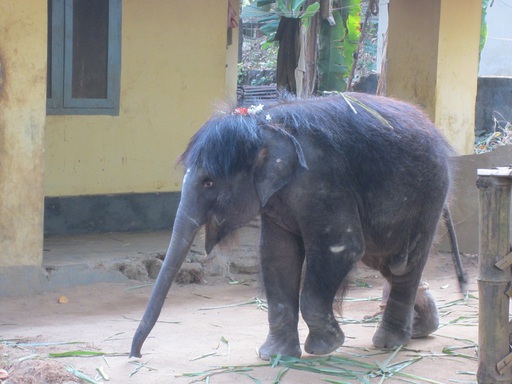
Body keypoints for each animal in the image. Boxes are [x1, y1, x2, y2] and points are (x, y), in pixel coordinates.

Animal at [131, 93, 464, 360]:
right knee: (389, 262)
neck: (264, 125)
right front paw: (274, 356)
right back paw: (421, 328)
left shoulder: (322, 181)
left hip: (430, 193)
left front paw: (326, 347)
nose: (136, 355)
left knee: (402, 264)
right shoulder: (276, 198)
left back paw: (388, 342)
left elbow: (341, 249)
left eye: (208, 182)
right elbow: (278, 256)